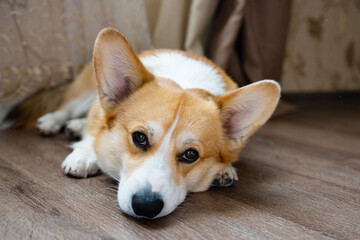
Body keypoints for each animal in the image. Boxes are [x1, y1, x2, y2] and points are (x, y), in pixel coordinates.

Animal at [36, 27, 280, 218]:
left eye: (191, 154)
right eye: (139, 137)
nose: (145, 206)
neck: (184, 78)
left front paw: (224, 170)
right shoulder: (100, 109)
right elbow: (95, 129)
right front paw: (85, 154)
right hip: (84, 92)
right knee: (67, 109)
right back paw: (53, 122)